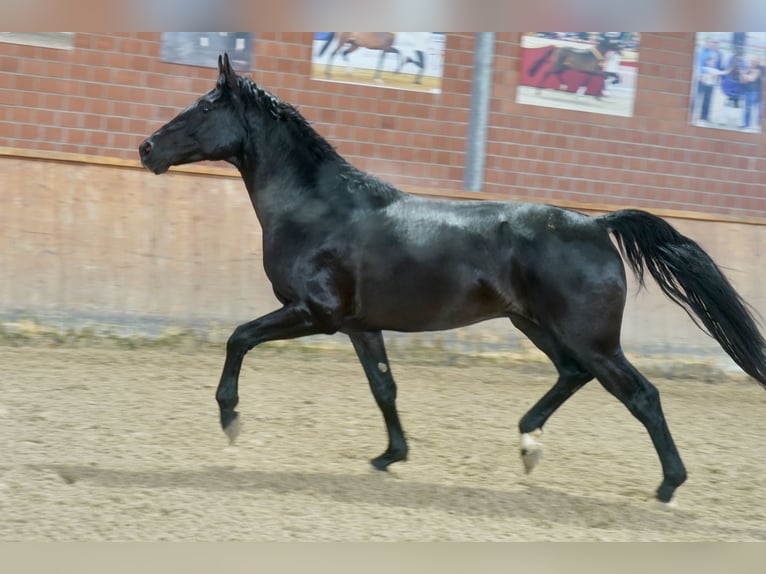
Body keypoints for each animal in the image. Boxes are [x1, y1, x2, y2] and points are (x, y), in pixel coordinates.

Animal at [141, 53, 766, 504]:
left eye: (202, 108)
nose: (146, 149)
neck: (319, 210)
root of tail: (596, 223)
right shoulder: (359, 326)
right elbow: (384, 387)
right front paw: (390, 456)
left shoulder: (313, 314)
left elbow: (239, 337)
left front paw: (230, 420)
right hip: (538, 325)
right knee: (573, 374)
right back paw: (528, 442)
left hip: (589, 336)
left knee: (641, 394)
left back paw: (667, 485)